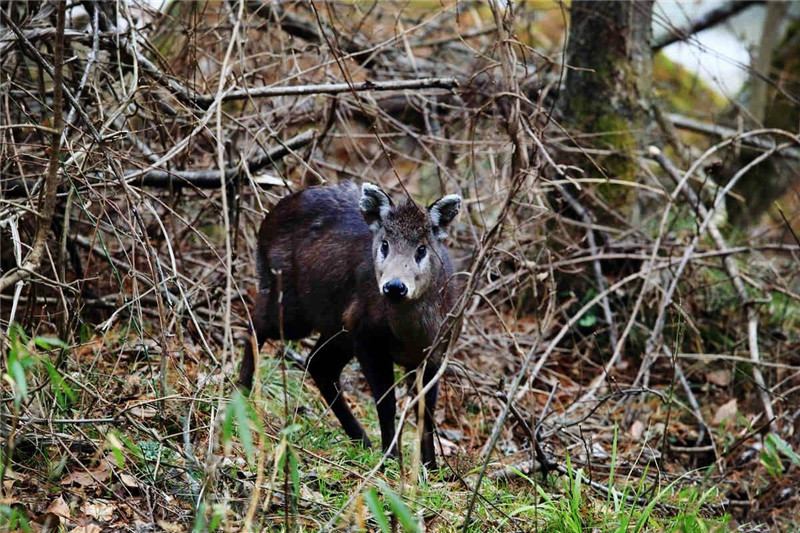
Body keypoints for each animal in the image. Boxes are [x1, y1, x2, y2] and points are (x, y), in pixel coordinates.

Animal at [239, 181, 462, 468]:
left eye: (422, 249)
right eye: (385, 245)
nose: (394, 286)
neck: (409, 335)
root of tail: (267, 221)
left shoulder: (434, 351)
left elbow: (426, 412)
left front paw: (431, 468)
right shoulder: (366, 335)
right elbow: (386, 403)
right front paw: (390, 459)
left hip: (335, 327)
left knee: (318, 362)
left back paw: (361, 439)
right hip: (291, 304)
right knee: (256, 324)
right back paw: (241, 392)